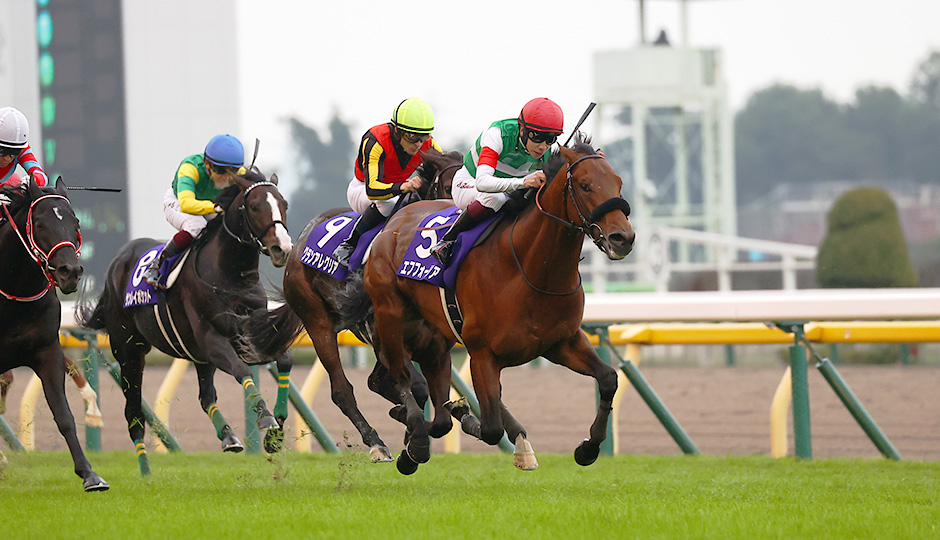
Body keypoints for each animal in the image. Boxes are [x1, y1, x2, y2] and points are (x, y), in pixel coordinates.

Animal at [0, 177, 109, 491]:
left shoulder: (47, 350)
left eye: (76, 221)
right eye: (39, 222)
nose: (69, 271)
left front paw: (89, 473)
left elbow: (64, 414)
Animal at [77, 167, 293, 475]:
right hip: (129, 352)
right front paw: (266, 417)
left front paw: (276, 433)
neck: (231, 274)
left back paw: (228, 436)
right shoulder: (214, 340)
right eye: (254, 206)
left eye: (283, 204)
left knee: (206, 398)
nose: (282, 248)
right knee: (133, 414)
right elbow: (243, 371)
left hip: (197, 356)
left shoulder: (249, 334)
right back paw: (146, 473)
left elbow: (284, 359)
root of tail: (118, 260)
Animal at [244, 148, 462, 463]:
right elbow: (417, 389)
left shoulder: (432, 344)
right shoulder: (385, 340)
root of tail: (297, 244)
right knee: (342, 390)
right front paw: (410, 430)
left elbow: (430, 404)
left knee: (373, 382)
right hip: (318, 323)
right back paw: (375, 443)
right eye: (447, 187)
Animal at [363, 134, 635, 473]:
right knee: (400, 375)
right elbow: (491, 428)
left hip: (432, 335)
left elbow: (609, 378)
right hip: (389, 314)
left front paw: (588, 448)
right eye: (585, 185)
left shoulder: (562, 342)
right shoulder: (482, 354)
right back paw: (414, 440)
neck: (531, 270)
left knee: (430, 403)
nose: (623, 238)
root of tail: (396, 220)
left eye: (618, 182)